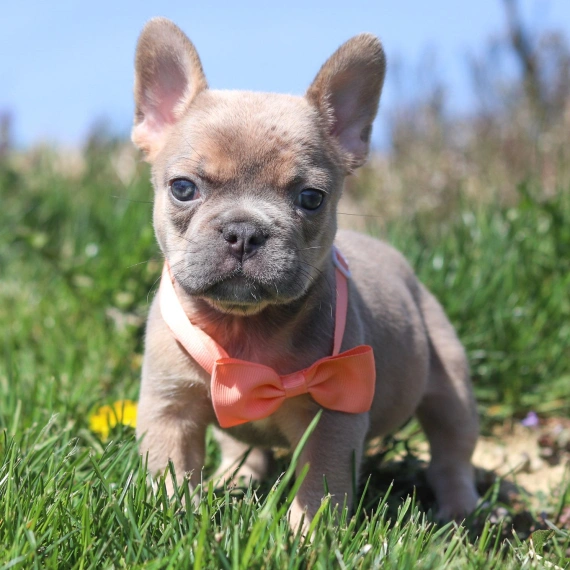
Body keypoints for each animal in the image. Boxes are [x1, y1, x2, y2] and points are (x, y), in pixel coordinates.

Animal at [132, 16, 480, 528]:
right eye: (182, 188)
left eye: (311, 198)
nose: (243, 231)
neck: (244, 328)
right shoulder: (170, 408)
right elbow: (170, 470)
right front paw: (173, 517)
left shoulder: (332, 418)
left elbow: (320, 490)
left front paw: (304, 536)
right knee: (240, 446)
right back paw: (233, 480)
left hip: (448, 378)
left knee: (452, 450)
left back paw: (459, 511)